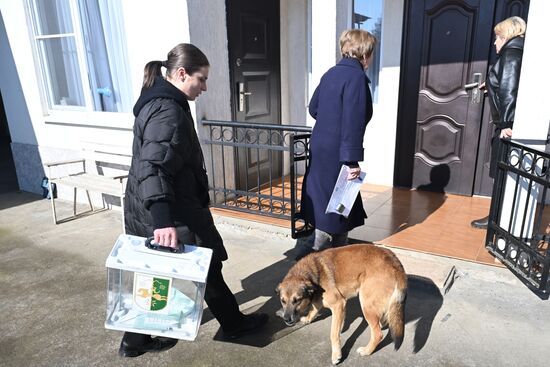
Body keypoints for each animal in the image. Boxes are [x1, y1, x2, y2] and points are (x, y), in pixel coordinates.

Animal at [278, 244, 408, 366]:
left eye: (297, 300)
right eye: (282, 301)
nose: (286, 319)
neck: (314, 273)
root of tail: (395, 261)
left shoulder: (338, 304)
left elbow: (333, 334)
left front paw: (336, 354)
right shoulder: (334, 304)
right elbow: (314, 309)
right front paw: (308, 319)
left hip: (366, 304)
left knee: (378, 334)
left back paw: (367, 350)